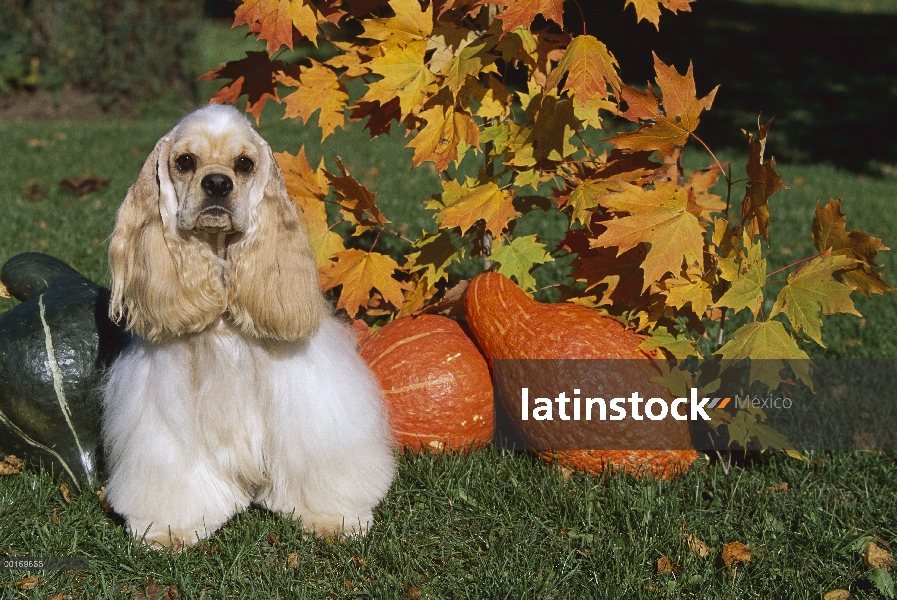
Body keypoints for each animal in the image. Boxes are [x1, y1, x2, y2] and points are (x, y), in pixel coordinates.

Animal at [100, 104, 392, 548]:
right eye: (185, 161)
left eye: (244, 164)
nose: (217, 183)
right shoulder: (166, 407)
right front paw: (171, 528)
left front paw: (333, 518)